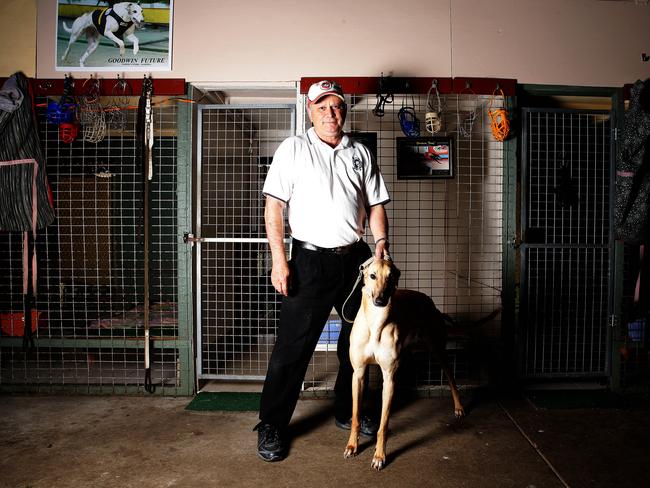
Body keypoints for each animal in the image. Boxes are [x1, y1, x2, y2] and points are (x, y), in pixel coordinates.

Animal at [344, 258, 460, 470]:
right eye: (372, 275)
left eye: (391, 277)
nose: (380, 301)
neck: (376, 323)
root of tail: (429, 302)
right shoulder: (358, 373)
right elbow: (356, 415)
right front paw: (352, 446)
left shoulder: (389, 378)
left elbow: (383, 425)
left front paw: (379, 456)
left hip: (438, 350)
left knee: (451, 378)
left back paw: (459, 407)